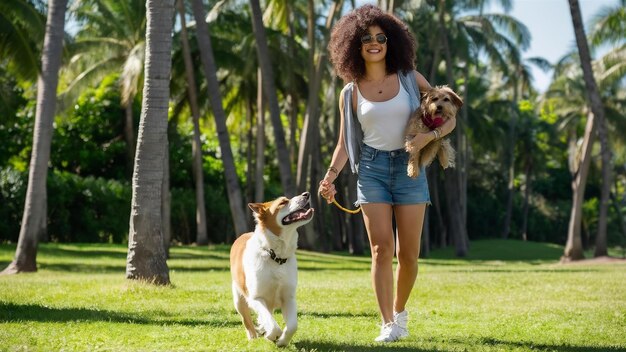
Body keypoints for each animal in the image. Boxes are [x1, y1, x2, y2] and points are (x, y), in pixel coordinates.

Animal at [230, 191, 314, 346]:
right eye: (283, 202)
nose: (306, 194)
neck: (275, 256)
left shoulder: (288, 297)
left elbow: (292, 326)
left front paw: (282, 341)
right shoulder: (256, 298)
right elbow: (273, 325)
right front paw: (271, 335)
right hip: (239, 300)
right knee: (247, 321)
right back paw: (253, 337)